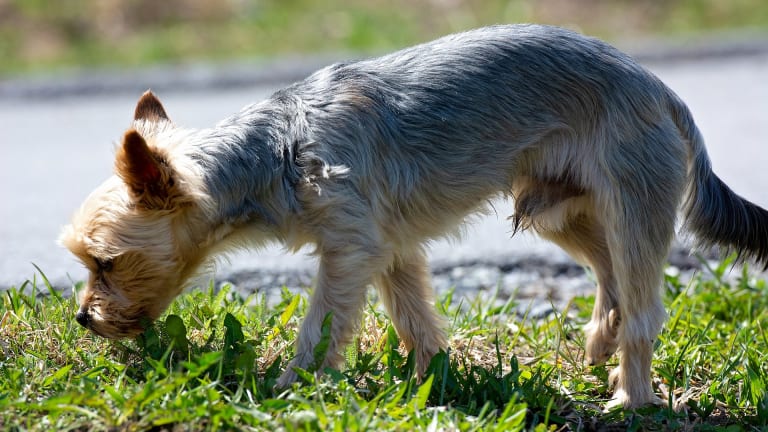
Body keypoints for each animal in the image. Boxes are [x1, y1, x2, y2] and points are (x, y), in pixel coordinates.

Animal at [60, 23, 768, 408]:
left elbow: (319, 330)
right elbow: (414, 319)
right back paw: (600, 343)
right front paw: (436, 381)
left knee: (643, 307)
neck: (277, 152)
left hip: (631, 200)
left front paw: (288, 388)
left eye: (105, 261)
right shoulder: (390, 250)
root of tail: (661, 89)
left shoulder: (349, 251)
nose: (83, 318)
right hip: (553, 209)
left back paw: (630, 395)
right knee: (610, 271)